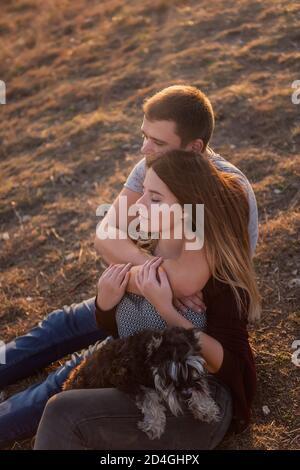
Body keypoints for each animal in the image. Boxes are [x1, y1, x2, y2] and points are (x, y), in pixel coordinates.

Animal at [63, 326, 219, 440]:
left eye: (192, 369)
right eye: (168, 375)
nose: (187, 394)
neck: (146, 357)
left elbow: (201, 385)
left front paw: (205, 408)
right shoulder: (124, 378)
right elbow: (149, 396)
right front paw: (154, 425)